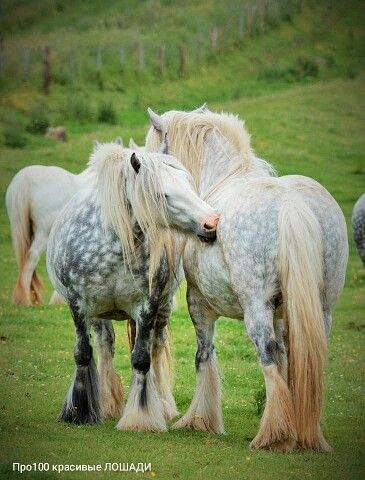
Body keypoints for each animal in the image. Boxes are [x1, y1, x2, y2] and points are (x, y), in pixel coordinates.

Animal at [48, 140, 219, 432]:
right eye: (163, 195)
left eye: (189, 186)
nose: (212, 222)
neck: (114, 245)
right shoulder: (77, 305)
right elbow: (83, 353)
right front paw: (80, 411)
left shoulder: (147, 307)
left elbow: (141, 358)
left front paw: (140, 417)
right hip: (99, 316)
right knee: (105, 346)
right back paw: (106, 403)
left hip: (162, 311)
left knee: (156, 347)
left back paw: (162, 404)